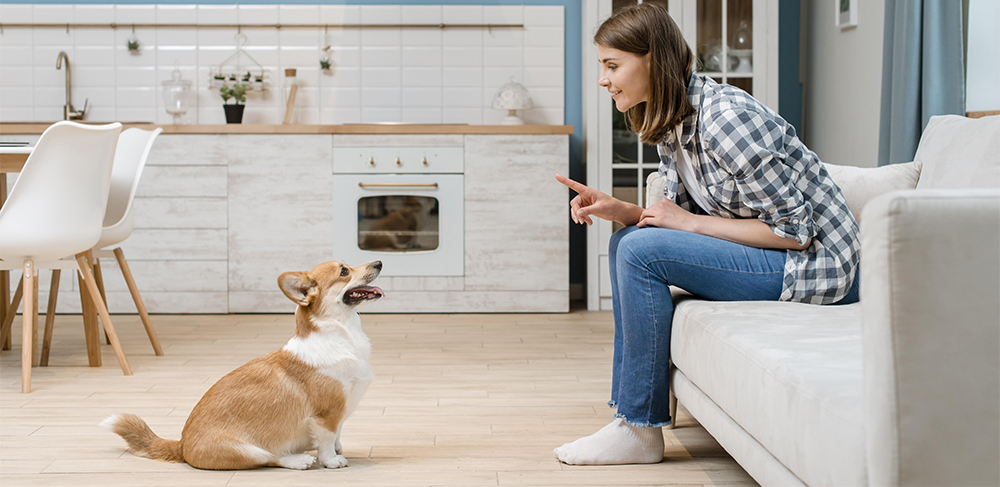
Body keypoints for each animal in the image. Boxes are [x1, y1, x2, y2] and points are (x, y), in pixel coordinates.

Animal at [100, 262, 382, 470]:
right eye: (344, 271)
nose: (379, 262)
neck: (343, 335)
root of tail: (181, 445)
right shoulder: (327, 414)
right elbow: (326, 439)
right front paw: (332, 460)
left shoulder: (341, 410)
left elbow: (337, 434)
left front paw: (338, 449)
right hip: (247, 450)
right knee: (271, 458)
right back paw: (299, 460)